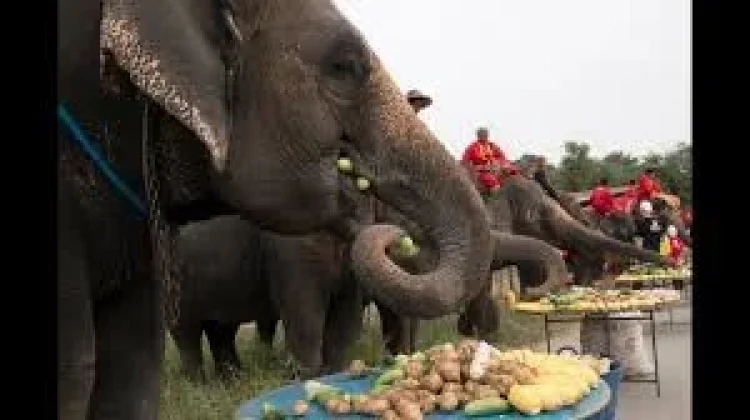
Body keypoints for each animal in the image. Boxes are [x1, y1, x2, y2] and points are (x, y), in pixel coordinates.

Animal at [59, 1, 571, 418]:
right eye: (345, 67)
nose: (396, 237)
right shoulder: (286, 249)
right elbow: (303, 311)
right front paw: (305, 377)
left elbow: (343, 320)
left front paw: (337, 373)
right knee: (188, 331)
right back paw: (205, 383)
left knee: (218, 329)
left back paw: (230, 378)